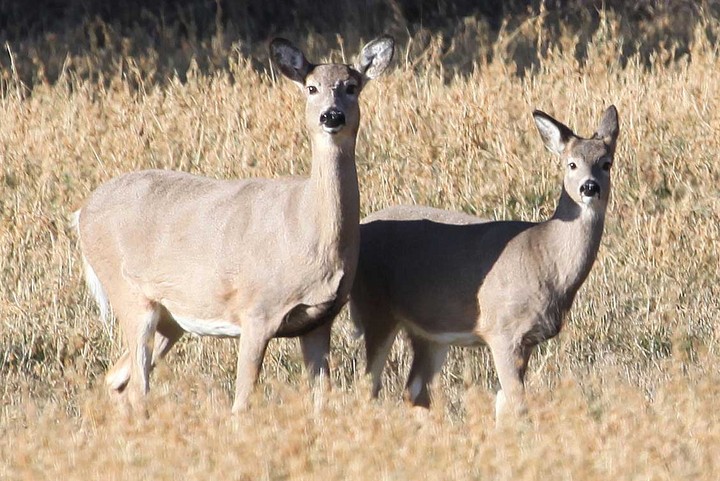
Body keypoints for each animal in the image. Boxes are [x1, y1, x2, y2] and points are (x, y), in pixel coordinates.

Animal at [73, 35, 394, 415]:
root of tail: (81, 213)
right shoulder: (257, 310)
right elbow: (241, 403)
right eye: (311, 87)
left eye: (352, 87)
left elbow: (321, 400)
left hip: (170, 317)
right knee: (137, 385)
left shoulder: (320, 320)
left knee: (116, 378)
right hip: (130, 292)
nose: (332, 116)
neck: (309, 230)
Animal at [349, 106, 619, 423]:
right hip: (377, 309)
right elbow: (516, 401)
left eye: (606, 163)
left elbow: (504, 401)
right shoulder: (502, 330)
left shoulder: (527, 340)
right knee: (367, 386)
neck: (543, 255)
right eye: (571, 164)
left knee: (413, 390)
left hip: (429, 330)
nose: (590, 187)